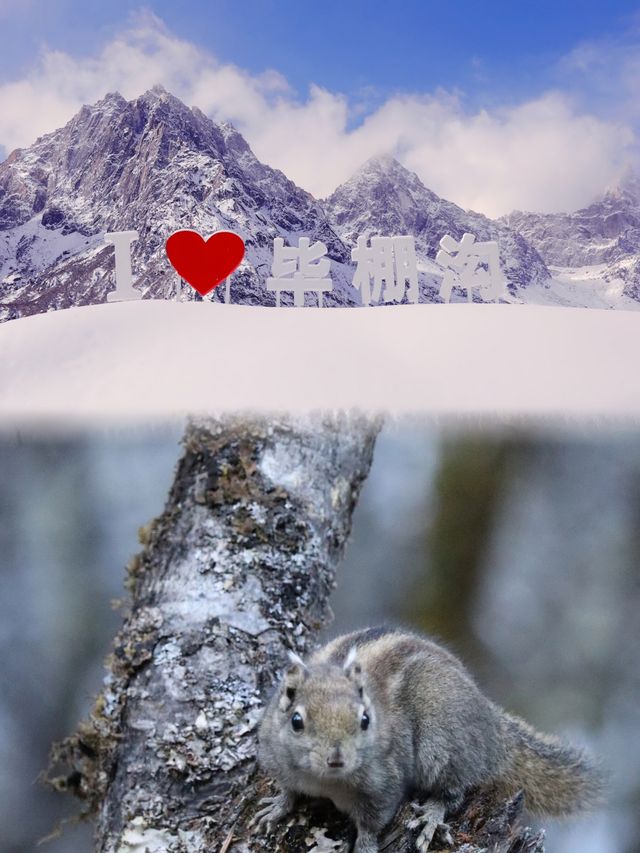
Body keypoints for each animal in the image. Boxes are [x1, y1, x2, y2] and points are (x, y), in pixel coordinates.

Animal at [254, 624, 600, 848]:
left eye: (365, 720)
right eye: (296, 721)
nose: (336, 759)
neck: (325, 781)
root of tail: (492, 733)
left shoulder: (385, 783)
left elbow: (372, 822)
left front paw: (365, 844)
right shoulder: (275, 757)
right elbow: (288, 788)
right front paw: (277, 806)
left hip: (442, 745)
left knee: (454, 792)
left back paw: (432, 815)